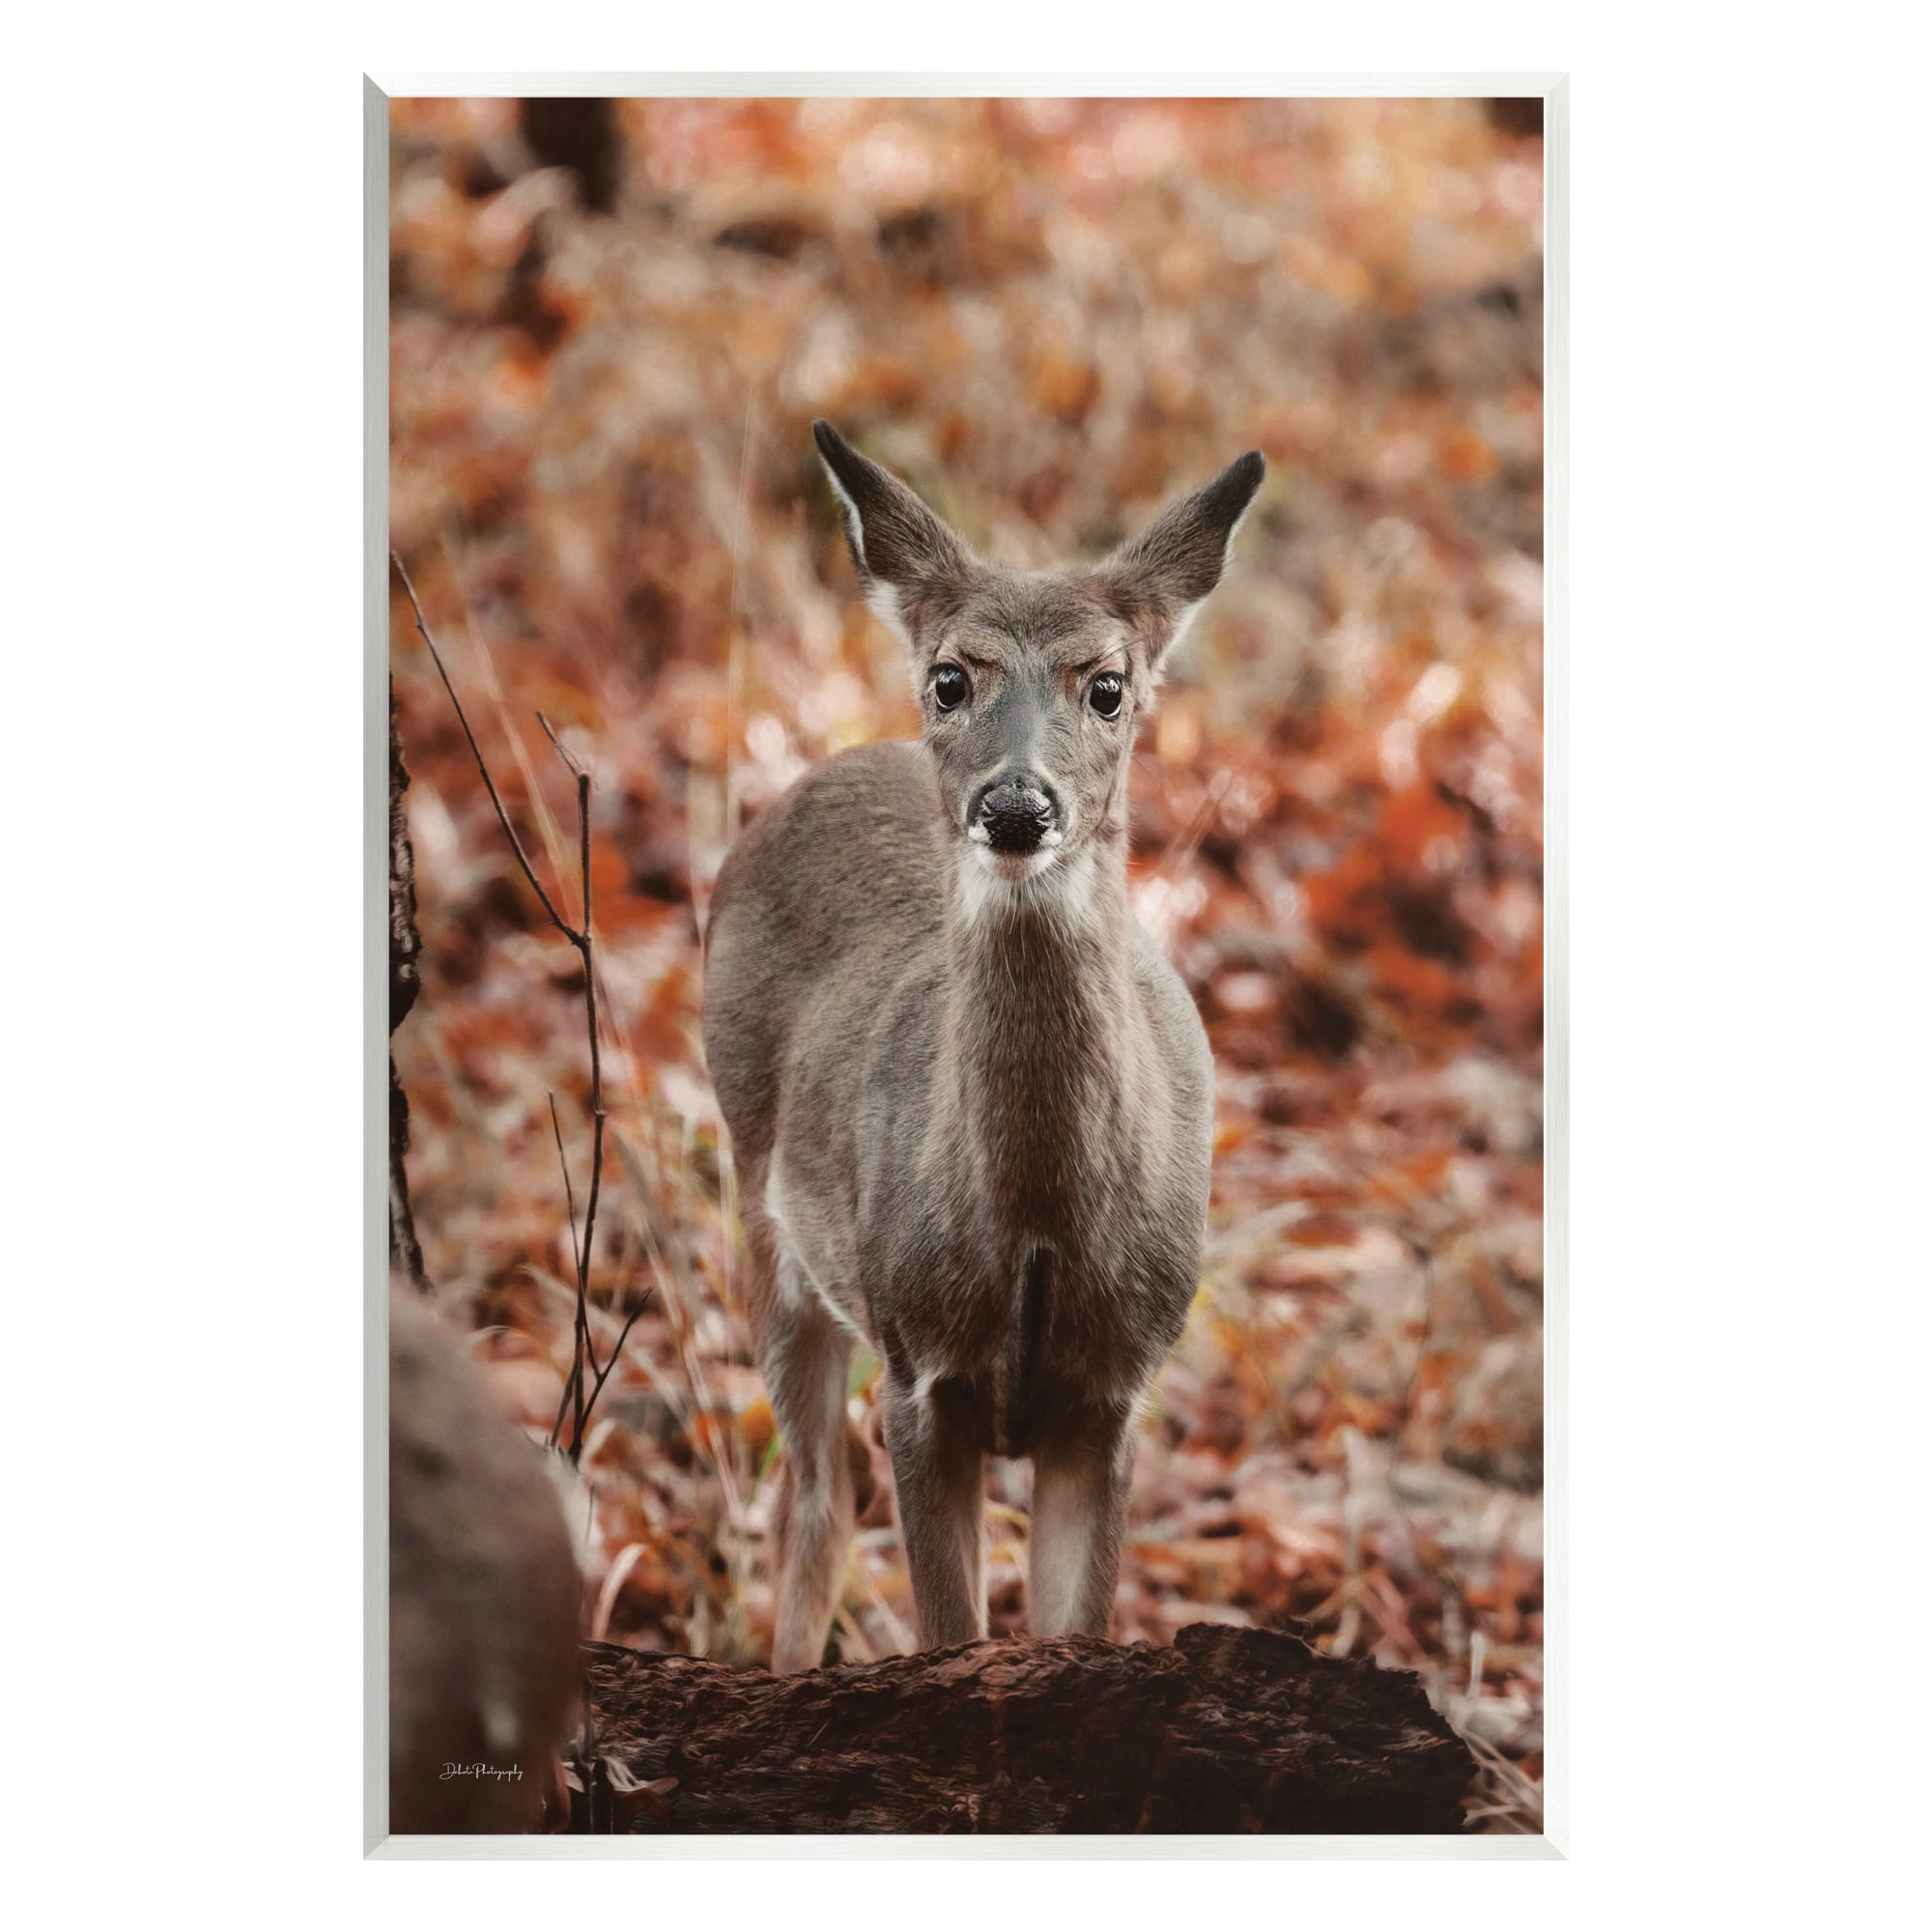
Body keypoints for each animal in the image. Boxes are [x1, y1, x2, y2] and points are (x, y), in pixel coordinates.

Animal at [703, 422, 1264, 1673]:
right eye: (951, 677)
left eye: (1106, 686)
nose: (1015, 804)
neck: (1037, 1224)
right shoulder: (922, 1368)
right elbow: (947, 1630)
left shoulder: (1113, 1391)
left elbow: (1073, 1628)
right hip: (767, 1215)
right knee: (815, 1496)